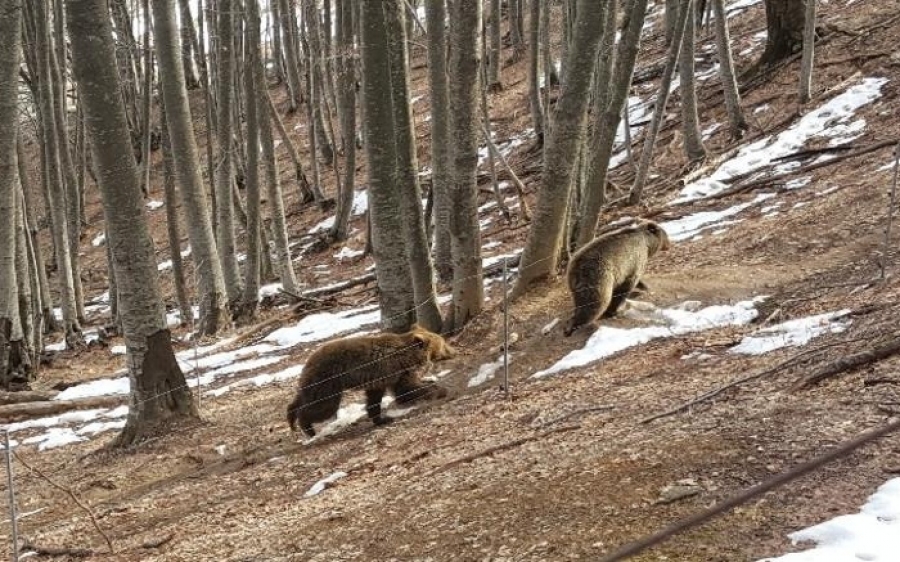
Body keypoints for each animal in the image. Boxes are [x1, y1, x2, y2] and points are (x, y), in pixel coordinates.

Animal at [286, 324, 458, 438]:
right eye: (443, 343)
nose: (454, 351)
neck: (408, 357)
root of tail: (309, 360)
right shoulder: (396, 371)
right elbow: (406, 390)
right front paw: (440, 390)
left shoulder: (381, 379)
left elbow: (376, 399)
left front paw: (381, 418)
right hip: (328, 381)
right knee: (322, 407)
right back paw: (307, 427)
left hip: (315, 382)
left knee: (303, 398)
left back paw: (291, 416)